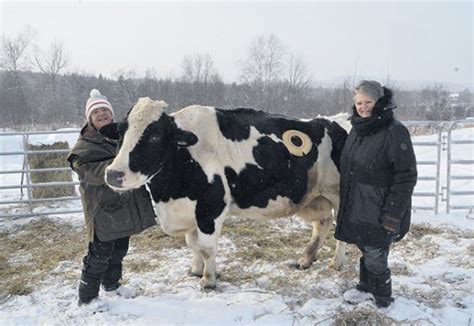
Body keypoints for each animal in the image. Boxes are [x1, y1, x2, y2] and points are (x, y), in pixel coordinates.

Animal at [101, 97, 352, 288]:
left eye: (155, 136)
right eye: (121, 133)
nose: (113, 174)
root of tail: (338, 119)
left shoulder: (210, 207)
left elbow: (206, 247)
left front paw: (208, 280)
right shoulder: (190, 210)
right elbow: (192, 243)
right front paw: (195, 270)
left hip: (340, 196)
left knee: (340, 231)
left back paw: (336, 263)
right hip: (315, 197)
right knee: (322, 223)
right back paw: (306, 259)